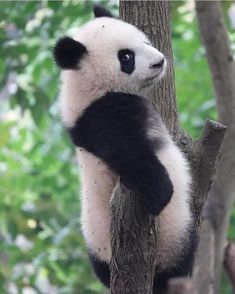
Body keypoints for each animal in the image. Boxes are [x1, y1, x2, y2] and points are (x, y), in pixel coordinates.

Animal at [53, 5, 196, 294]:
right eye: (126, 57)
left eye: (145, 41)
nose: (159, 61)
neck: (93, 89)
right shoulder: (102, 116)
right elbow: (129, 152)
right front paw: (160, 192)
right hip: (173, 235)